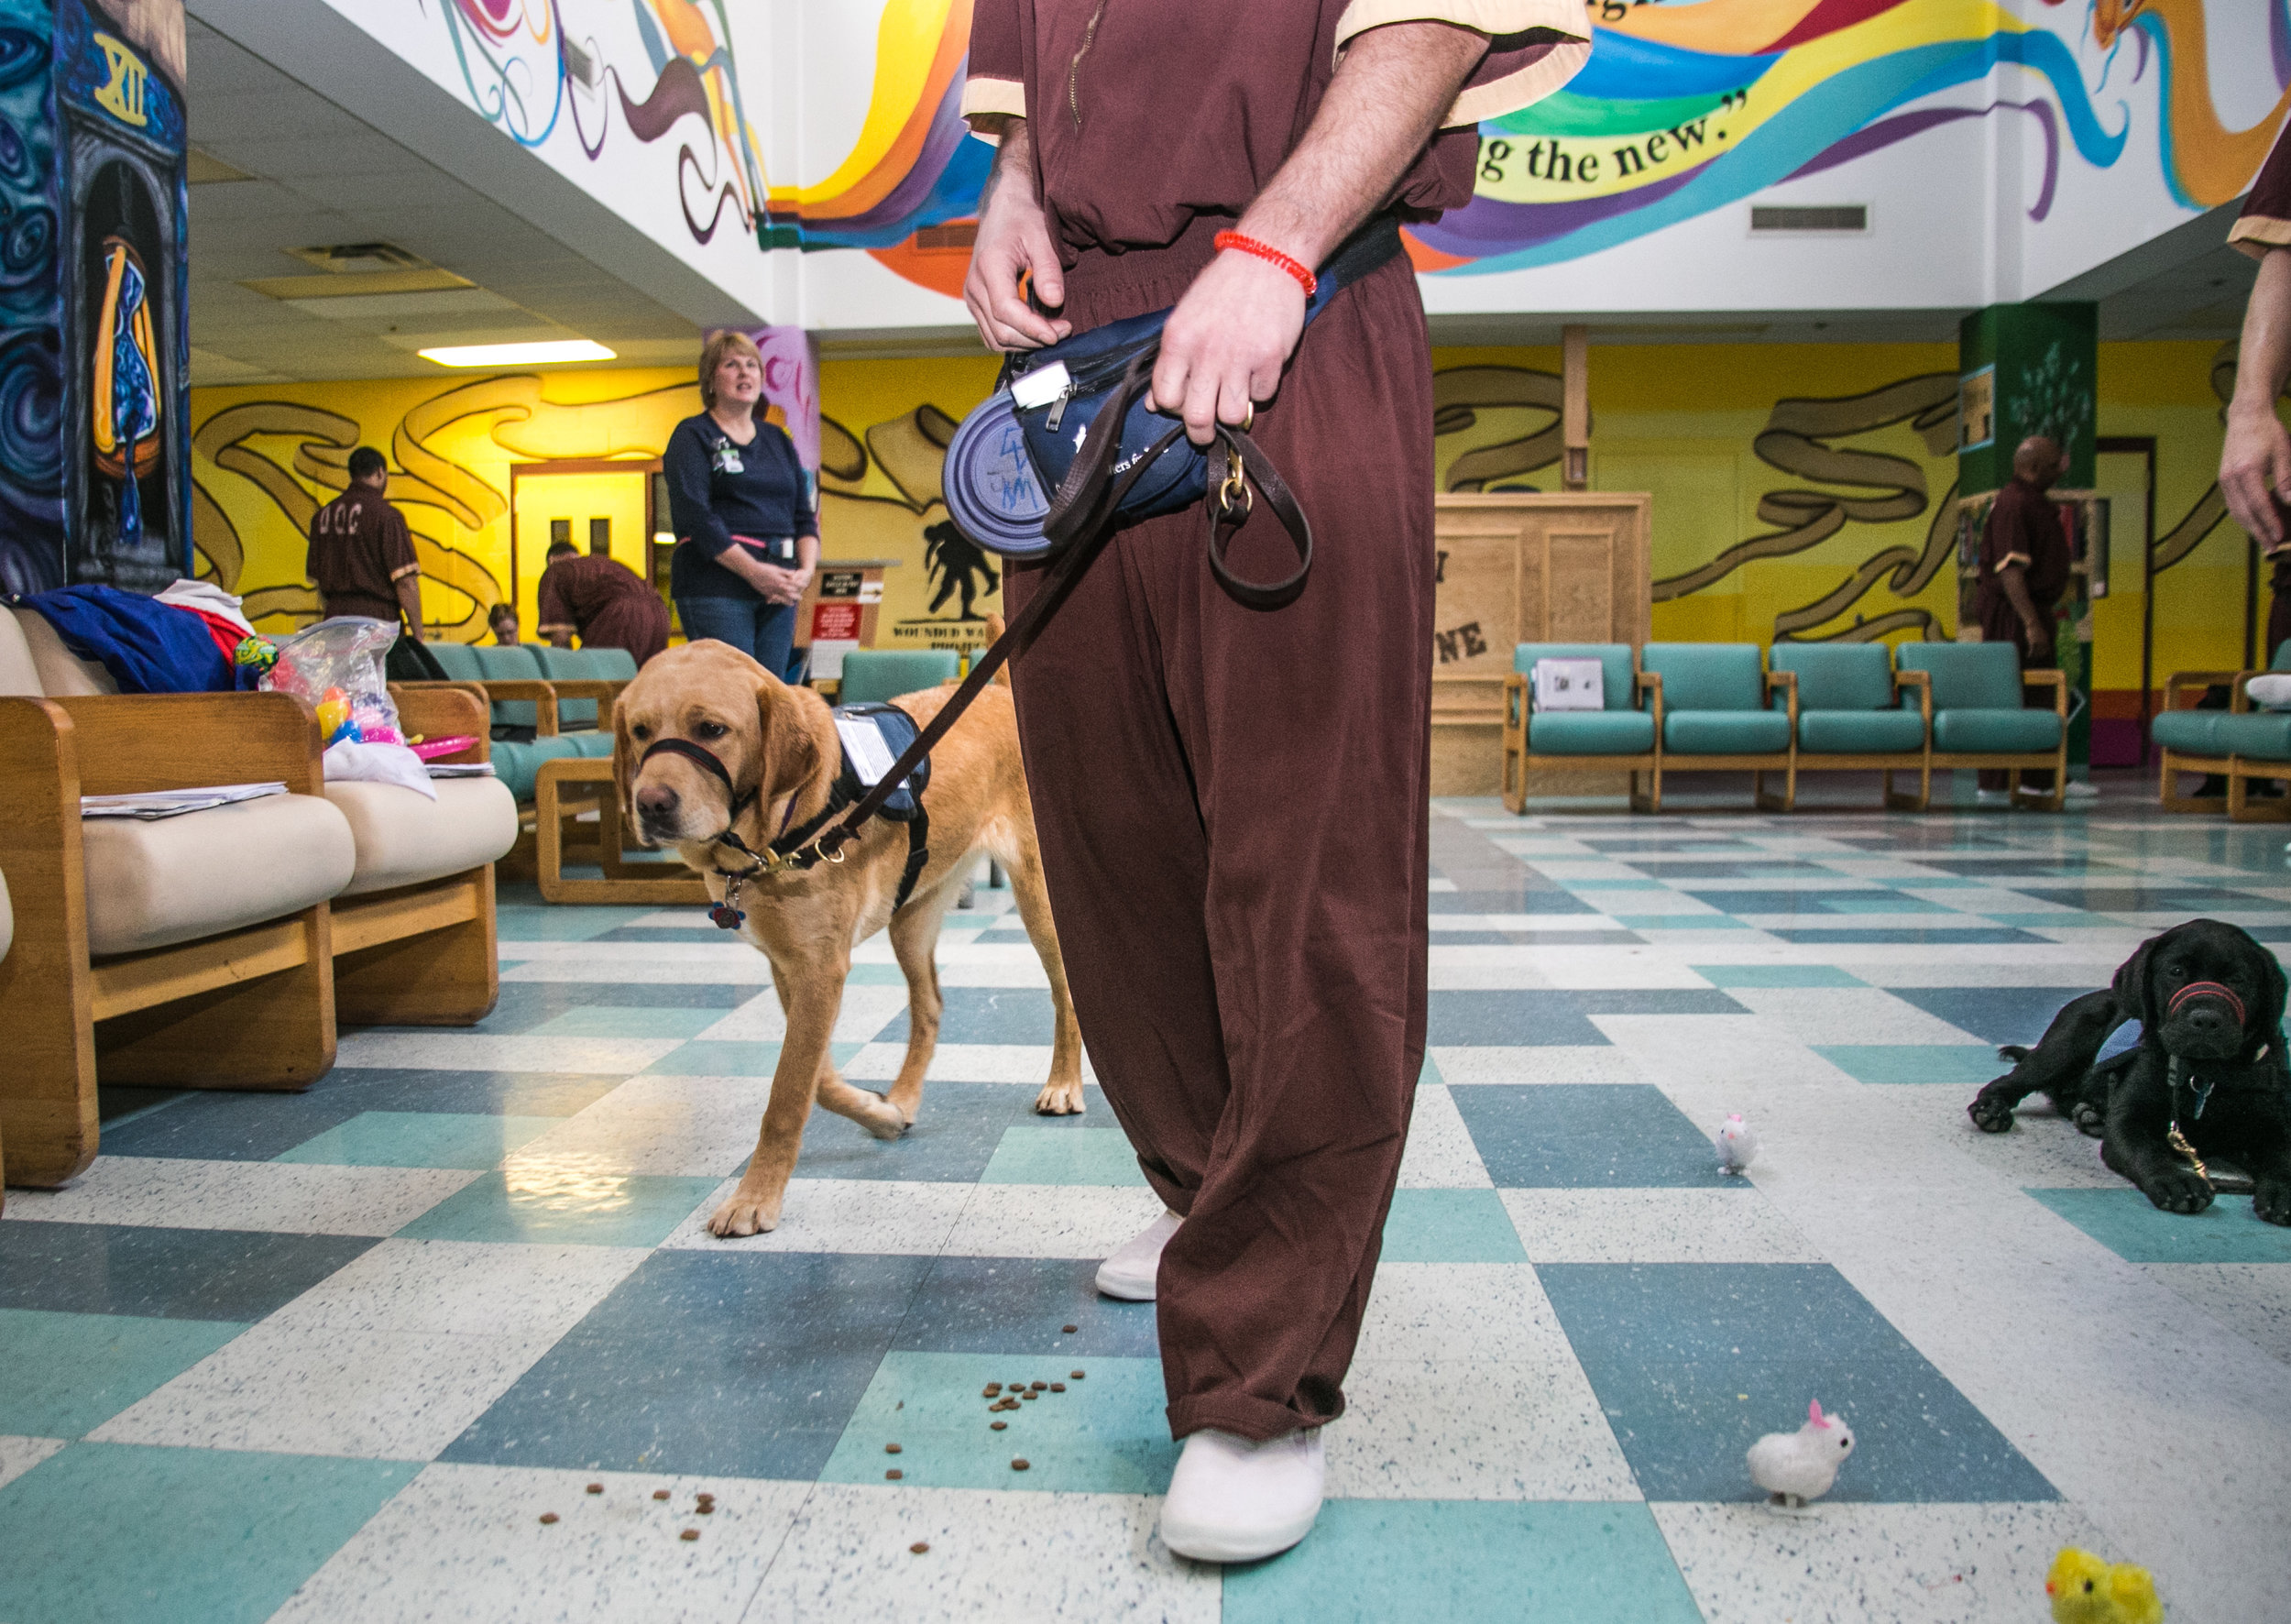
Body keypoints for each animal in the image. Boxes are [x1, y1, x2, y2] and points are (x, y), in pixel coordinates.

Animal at [614, 641, 1086, 1236]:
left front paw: (755, 1198)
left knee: (1065, 992)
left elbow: (788, 1093)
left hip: (1037, 897)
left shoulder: (822, 971)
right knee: (930, 1005)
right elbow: (815, 1078)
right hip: (912, 918)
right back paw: (903, 1098)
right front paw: (879, 1113)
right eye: (639, 730)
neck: (778, 830)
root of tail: (998, 690)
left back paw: (1064, 1084)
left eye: (712, 728)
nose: (650, 803)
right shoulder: (792, 966)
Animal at [1961, 920, 2282, 1218]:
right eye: (2176, 971)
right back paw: (1992, 1109)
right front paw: (2176, 1181)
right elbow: (2148, 1151)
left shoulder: (2275, 1125)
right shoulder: (2129, 1122)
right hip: (2065, 1044)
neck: (2202, 1076)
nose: (2205, 1019)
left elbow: (2282, 1159)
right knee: (2011, 1081)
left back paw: (2090, 1114)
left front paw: (2280, 1194)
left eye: (2238, 979)